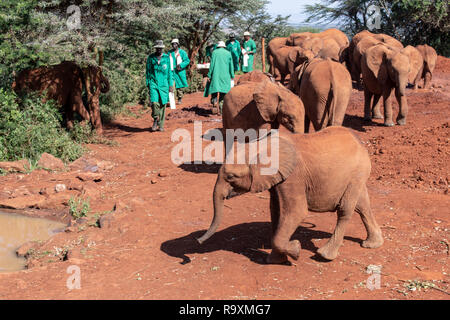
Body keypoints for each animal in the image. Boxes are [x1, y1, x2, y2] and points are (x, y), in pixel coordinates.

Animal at [197, 126, 384, 264]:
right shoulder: (276, 180)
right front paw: (274, 260)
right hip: (357, 175)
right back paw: (372, 244)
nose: (198, 241)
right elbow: (276, 212)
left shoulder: (293, 177)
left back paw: (324, 255)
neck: (260, 146)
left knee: (345, 210)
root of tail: (360, 141)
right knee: (362, 206)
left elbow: (296, 212)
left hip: (357, 172)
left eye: (231, 177)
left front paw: (295, 250)